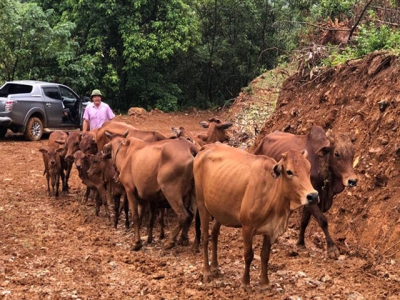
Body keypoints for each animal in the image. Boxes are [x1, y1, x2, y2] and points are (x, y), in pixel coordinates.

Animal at [194, 144, 318, 288]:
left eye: (308, 168)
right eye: (289, 172)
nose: (313, 196)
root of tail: (207, 146)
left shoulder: (270, 230)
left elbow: (265, 255)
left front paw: (265, 283)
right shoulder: (247, 227)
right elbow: (249, 255)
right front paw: (245, 283)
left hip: (219, 210)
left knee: (214, 235)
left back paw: (215, 267)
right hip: (202, 205)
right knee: (205, 238)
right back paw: (207, 272)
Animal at [252, 125, 358, 258]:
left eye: (353, 153)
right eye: (337, 154)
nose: (352, 180)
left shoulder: (311, 198)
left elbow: (304, 221)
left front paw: (300, 243)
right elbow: (323, 220)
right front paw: (332, 248)